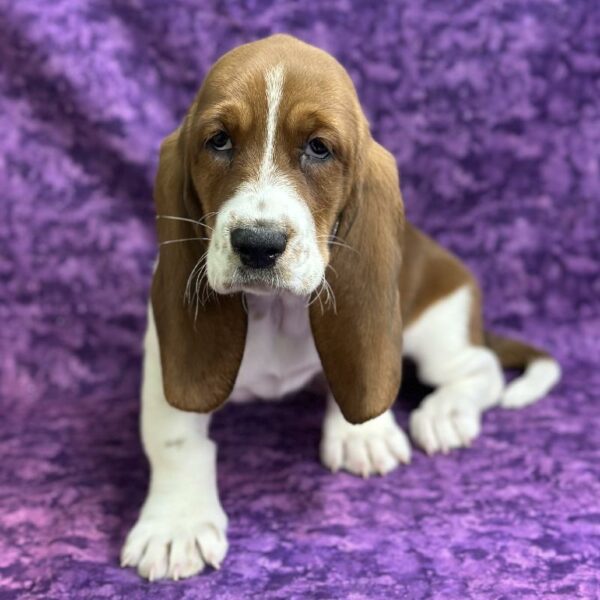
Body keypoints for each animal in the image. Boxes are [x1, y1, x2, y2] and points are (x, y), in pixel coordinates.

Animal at [122, 35, 564, 580]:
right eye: (219, 141)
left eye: (319, 148)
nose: (258, 245)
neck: (275, 310)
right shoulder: (164, 352)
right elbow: (175, 437)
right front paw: (175, 523)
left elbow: (360, 376)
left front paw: (365, 435)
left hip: (436, 326)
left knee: (479, 367)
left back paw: (446, 412)